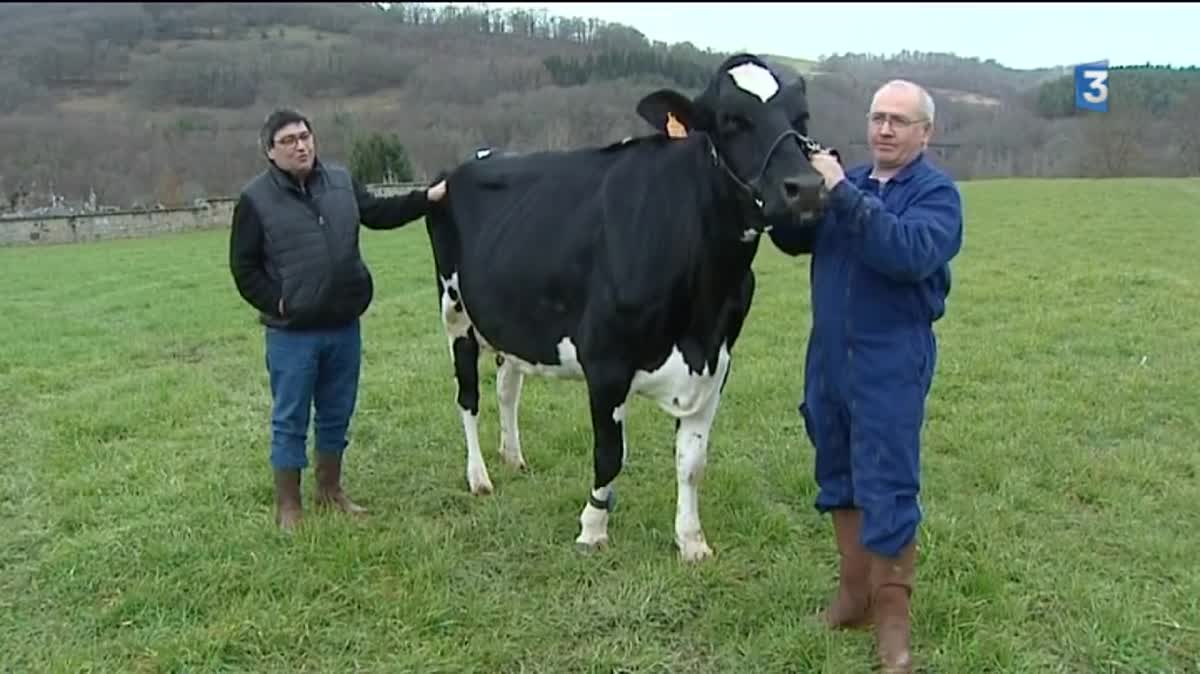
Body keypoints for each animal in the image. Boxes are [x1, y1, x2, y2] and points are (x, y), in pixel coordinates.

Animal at [422, 52, 825, 558]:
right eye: (732, 120)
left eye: (802, 119)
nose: (806, 188)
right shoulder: (606, 362)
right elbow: (610, 454)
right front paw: (593, 527)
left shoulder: (718, 362)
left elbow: (692, 461)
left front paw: (691, 540)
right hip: (454, 311)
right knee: (468, 396)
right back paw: (479, 477)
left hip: (512, 321)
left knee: (507, 388)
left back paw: (513, 457)